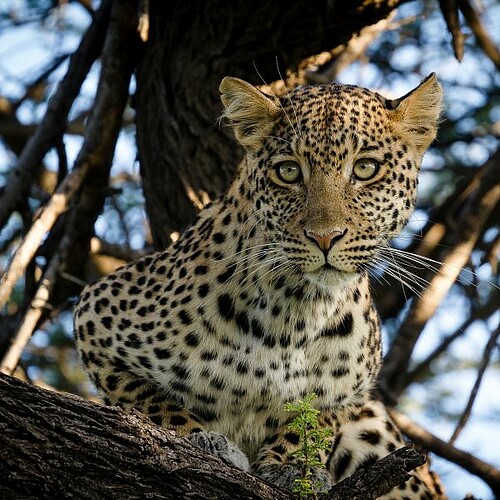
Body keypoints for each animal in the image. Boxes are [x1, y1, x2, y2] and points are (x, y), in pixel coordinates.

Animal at [73, 72, 442, 498]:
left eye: (366, 168)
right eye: (288, 172)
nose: (325, 237)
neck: (299, 311)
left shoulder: (352, 392)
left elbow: (315, 420)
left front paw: (291, 465)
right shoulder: (96, 315)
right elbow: (147, 400)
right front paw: (201, 440)